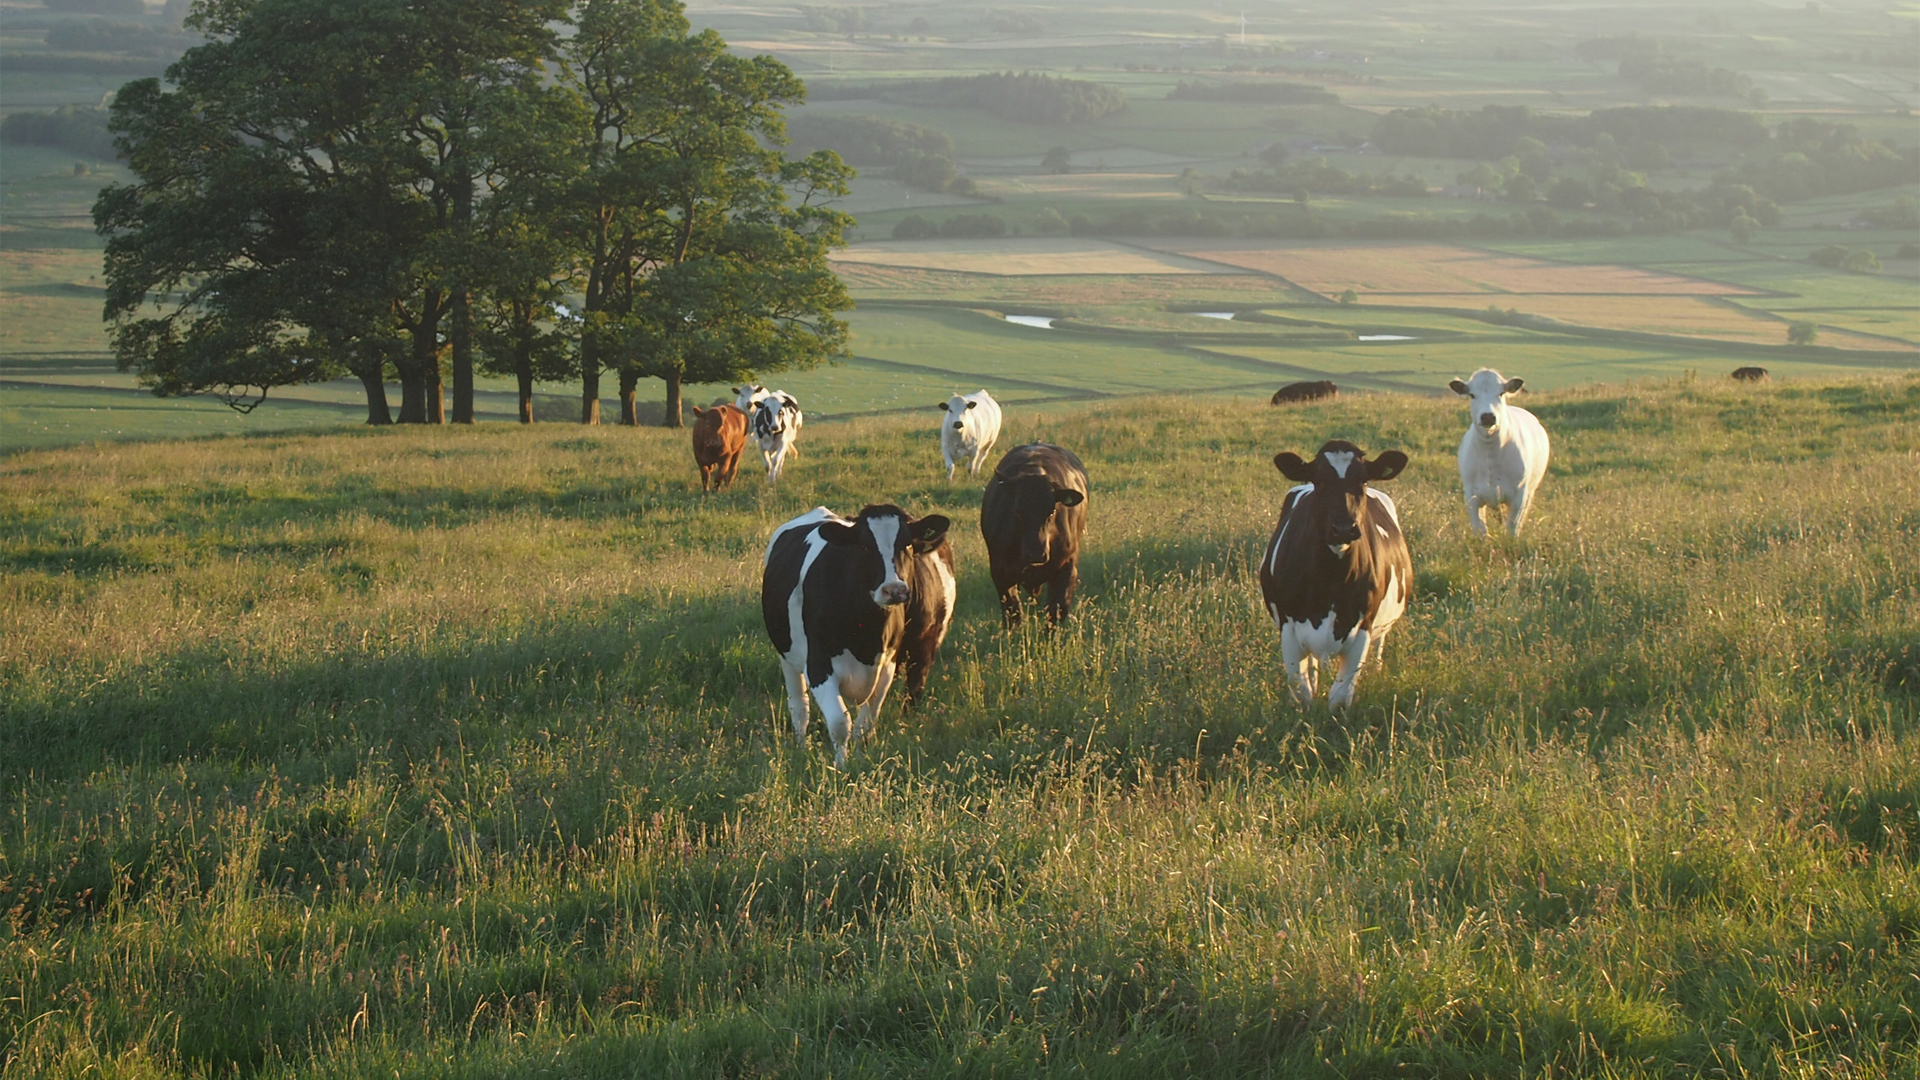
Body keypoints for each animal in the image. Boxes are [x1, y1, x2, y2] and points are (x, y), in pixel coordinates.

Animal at [756, 499, 952, 760]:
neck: (867, 634)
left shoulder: (888, 665)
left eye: (907, 544)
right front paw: (840, 765)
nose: (894, 589)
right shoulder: (818, 665)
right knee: (799, 706)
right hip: (786, 656)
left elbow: (865, 724)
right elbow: (840, 723)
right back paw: (800, 746)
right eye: (864, 546)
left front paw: (859, 759)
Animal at [983, 438, 1090, 622]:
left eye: (1052, 510)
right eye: (1017, 510)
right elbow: (1013, 612)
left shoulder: (1066, 569)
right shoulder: (1000, 572)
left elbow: (1056, 611)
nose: (1036, 554)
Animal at [1259, 438, 1413, 707]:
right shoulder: (1289, 628)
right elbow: (1302, 693)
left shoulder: (1363, 627)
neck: (1329, 580)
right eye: (1320, 481)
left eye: (1363, 480)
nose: (1343, 528)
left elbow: (1340, 698)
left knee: (1378, 650)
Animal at [1443, 365, 1551, 538]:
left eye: (1501, 393)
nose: (1488, 417)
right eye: (1472, 395)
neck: (1490, 453)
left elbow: (1512, 529)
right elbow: (1480, 531)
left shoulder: (1519, 495)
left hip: (1530, 491)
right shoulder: (1472, 495)